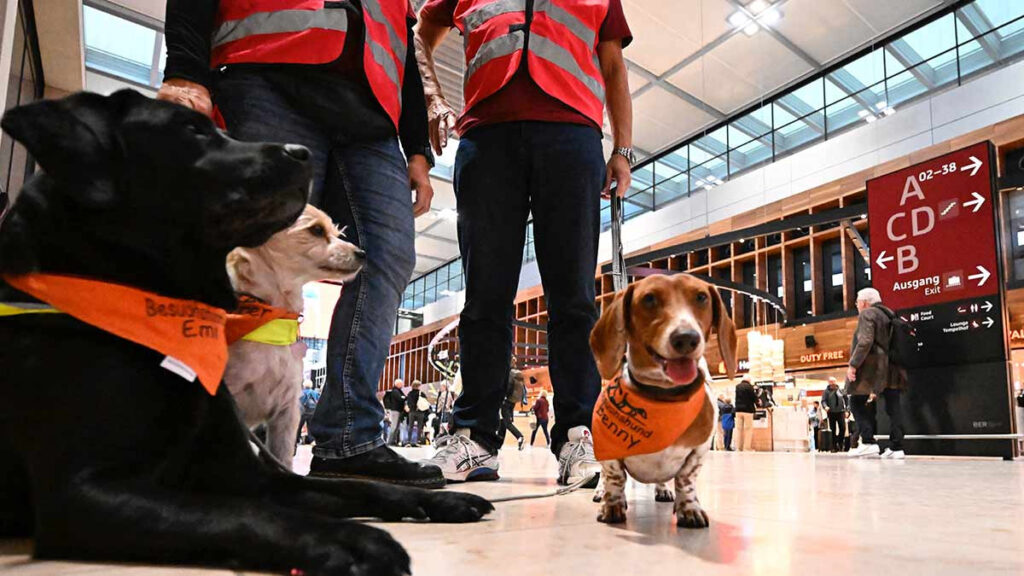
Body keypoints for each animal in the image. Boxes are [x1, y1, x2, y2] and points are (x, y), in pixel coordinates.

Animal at [585, 272, 737, 524]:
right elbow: (615, 476)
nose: (686, 338)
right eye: (649, 299)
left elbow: (686, 478)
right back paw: (601, 492)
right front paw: (612, 505)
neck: (663, 396)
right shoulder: (608, 451)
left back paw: (663, 489)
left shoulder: (699, 449)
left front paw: (689, 508)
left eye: (701, 297)